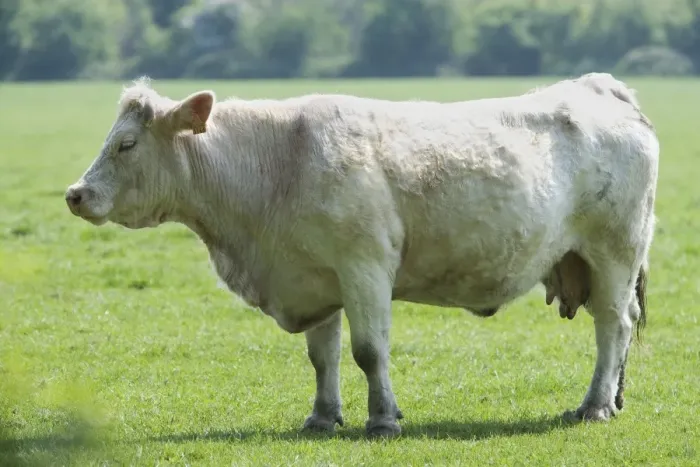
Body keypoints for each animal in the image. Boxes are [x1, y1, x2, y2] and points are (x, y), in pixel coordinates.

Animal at [65, 72, 658, 438]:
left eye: (126, 145)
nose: (76, 193)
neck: (278, 166)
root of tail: (600, 87)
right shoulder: (313, 277)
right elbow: (322, 356)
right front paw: (322, 417)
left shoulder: (365, 268)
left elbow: (369, 351)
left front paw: (383, 419)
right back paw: (613, 398)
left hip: (614, 252)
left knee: (613, 326)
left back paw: (596, 404)